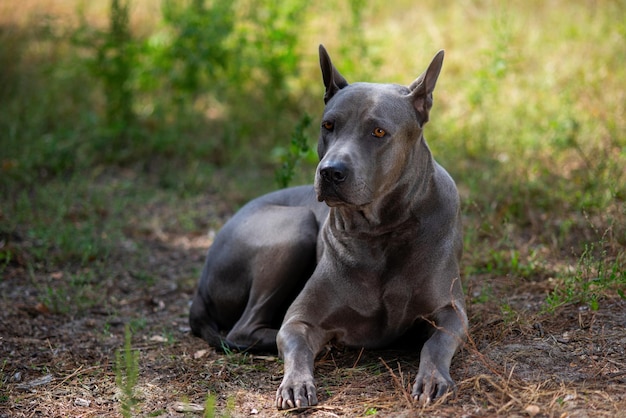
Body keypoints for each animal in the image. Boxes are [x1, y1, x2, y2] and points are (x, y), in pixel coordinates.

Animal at [188, 45, 466, 408]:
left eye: (379, 132)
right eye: (328, 125)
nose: (330, 171)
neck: (380, 232)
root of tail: (200, 288)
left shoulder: (451, 311)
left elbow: (436, 342)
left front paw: (433, 377)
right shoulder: (299, 320)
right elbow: (294, 342)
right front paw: (296, 383)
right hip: (295, 227)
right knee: (243, 330)